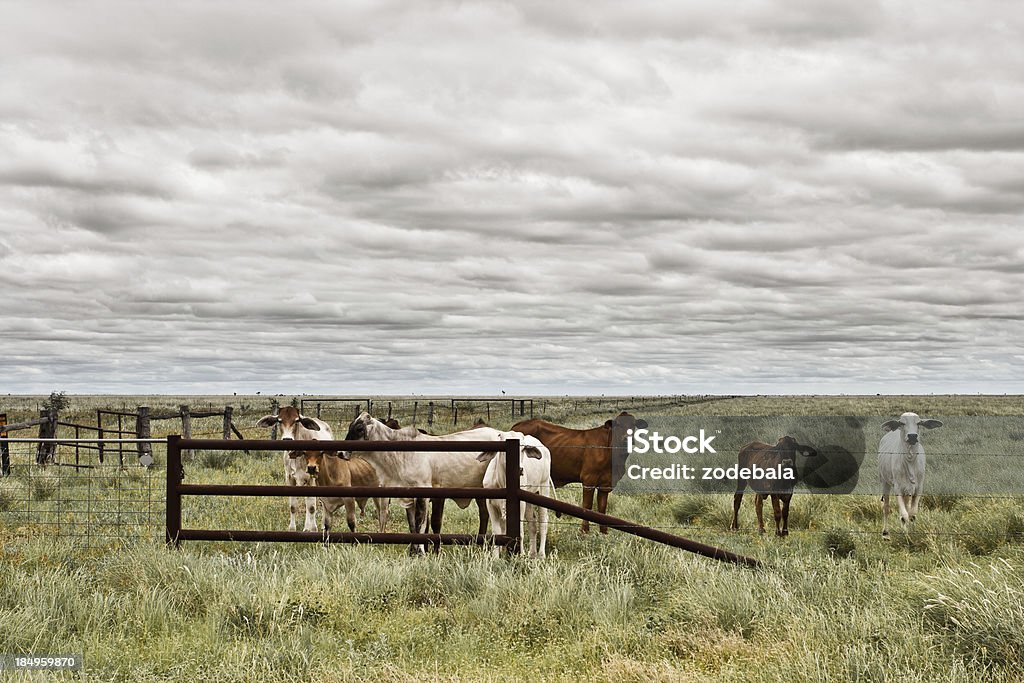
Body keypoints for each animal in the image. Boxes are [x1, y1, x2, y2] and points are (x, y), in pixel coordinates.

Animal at [339, 411, 503, 557]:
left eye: (359, 429)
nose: (341, 453)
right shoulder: (409, 497)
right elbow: (413, 525)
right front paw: (414, 552)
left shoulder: (424, 494)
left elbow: (422, 524)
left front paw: (423, 552)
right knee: (484, 513)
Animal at [477, 432, 557, 561]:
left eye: (524, 448)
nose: (520, 469)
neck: (503, 482)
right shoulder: (491, 505)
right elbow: (497, 532)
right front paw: (496, 557)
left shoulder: (520, 505)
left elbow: (520, 531)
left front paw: (520, 554)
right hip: (529, 499)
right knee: (532, 523)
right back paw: (532, 553)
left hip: (544, 488)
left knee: (543, 521)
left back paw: (541, 554)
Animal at [509, 411, 643, 532]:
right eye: (618, 425)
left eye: (633, 425)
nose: (626, 439)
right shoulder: (589, 480)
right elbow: (587, 507)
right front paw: (584, 531)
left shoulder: (606, 483)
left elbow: (602, 508)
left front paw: (603, 532)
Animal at [880, 411, 942, 540]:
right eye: (902, 423)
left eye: (918, 423)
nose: (912, 436)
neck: (909, 460)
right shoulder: (898, 488)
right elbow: (904, 515)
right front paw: (906, 535)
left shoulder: (918, 488)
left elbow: (912, 515)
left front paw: (912, 533)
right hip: (884, 481)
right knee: (886, 507)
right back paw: (886, 533)